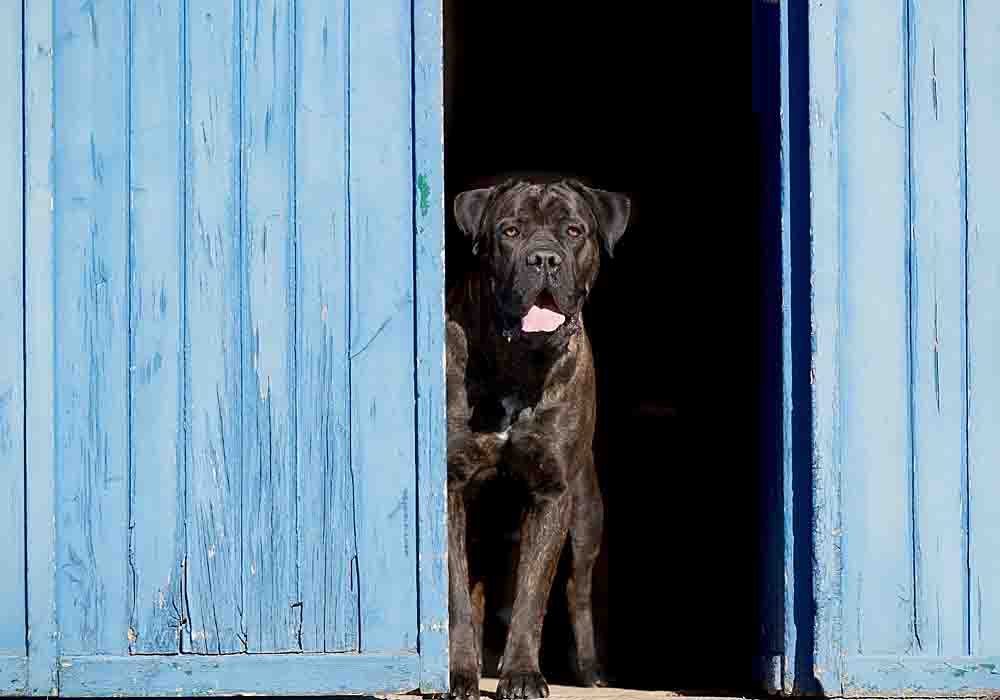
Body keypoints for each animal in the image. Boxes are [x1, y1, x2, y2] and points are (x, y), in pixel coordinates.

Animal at [448, 178, 628, 696]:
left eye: (573, 230)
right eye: (510, 231)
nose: (543, 258)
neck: (518, 364)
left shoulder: (552, 494)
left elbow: (532, 595)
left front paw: (522, 674)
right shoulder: (450, 487)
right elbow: (455, 595)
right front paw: (460, 673)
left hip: (585, 516)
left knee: (577, 591)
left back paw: (589, 671)